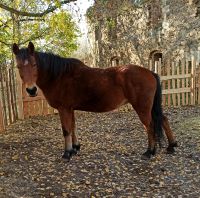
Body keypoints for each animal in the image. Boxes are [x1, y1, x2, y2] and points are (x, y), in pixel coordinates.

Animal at [12, 42, 177, 161]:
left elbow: (66, 130)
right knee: (163, 119)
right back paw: (171, 146)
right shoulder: (70, 108)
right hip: (151, 107)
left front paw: (66, 153)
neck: (59, 76)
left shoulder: (63, 108)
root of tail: (150, 72)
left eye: (34, 64)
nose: (31, 90)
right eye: (18, 66)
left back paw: (150, 151)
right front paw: (75, 148)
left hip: (142, 107)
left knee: (149, 125)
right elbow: (72, 127)